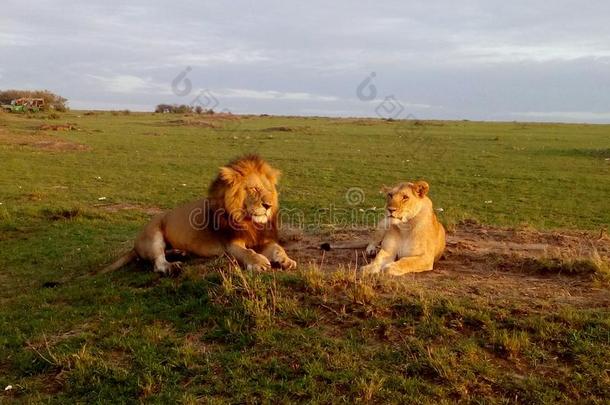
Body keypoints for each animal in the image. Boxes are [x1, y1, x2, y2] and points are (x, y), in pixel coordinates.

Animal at [101, 155, 294, 274]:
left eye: (268, 190)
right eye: (254, 189)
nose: (268, 205)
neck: (249, 221)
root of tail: (135, 246)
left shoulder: (264, 239)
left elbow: (278, 248)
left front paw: (287, 260)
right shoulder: (230, 244)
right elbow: (247, 252)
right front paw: (259, 262)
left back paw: (180, 252)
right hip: (154, 232)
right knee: (158, 262)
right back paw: (172, 267)